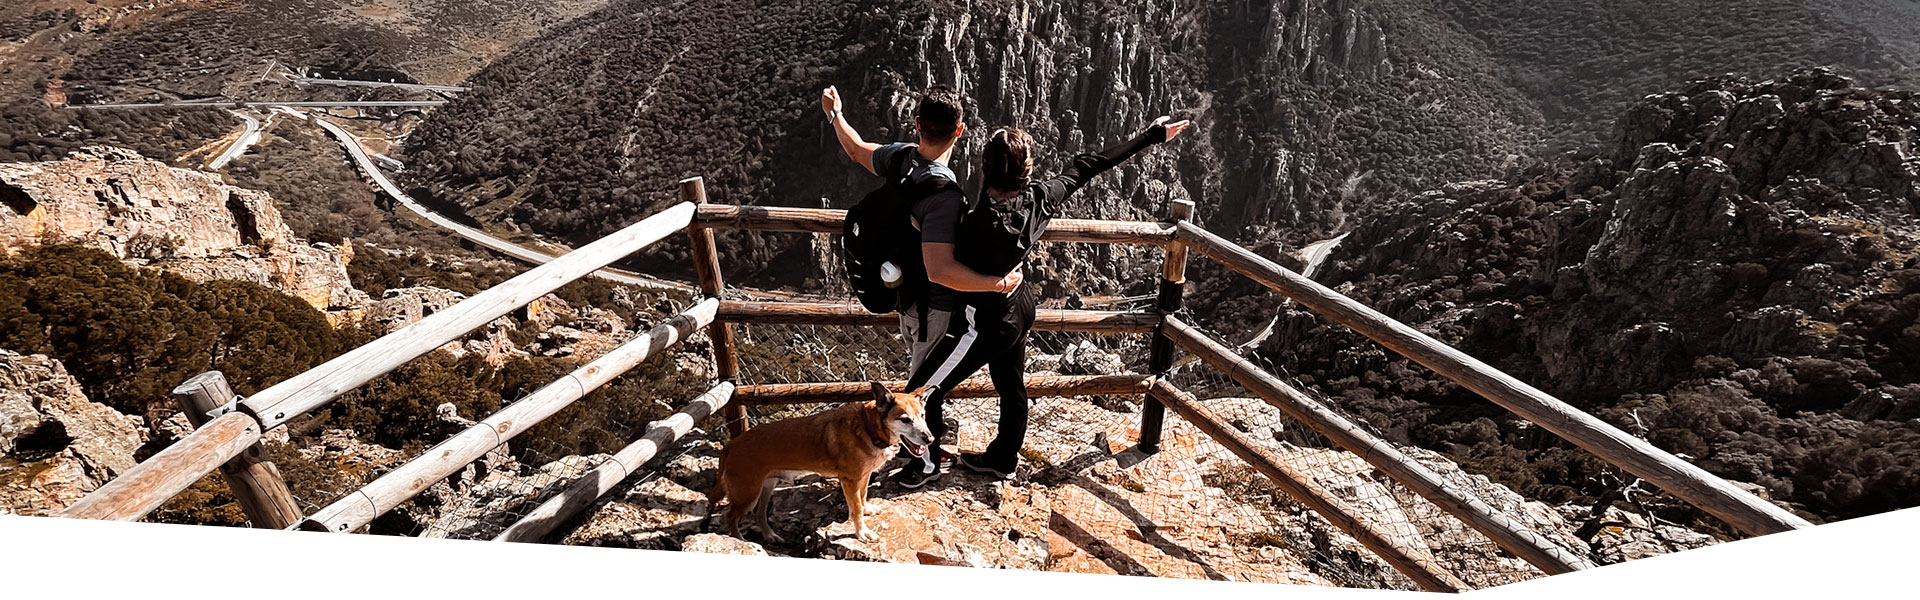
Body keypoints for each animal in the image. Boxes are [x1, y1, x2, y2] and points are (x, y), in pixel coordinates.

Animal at [714, 384, 936, 542]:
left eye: (923, 416)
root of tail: (732, 443)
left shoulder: (863, 476)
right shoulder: (849, 480)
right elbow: (855, 508)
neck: (868, 428)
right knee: (730, 516)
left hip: (766, 486)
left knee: (759, 514)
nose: (930, 439)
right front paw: (862, 533)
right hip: (747, 494)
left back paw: (770, 536)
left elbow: (862, 497)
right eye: (905, 420)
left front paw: (866, 510)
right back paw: (740, 540)